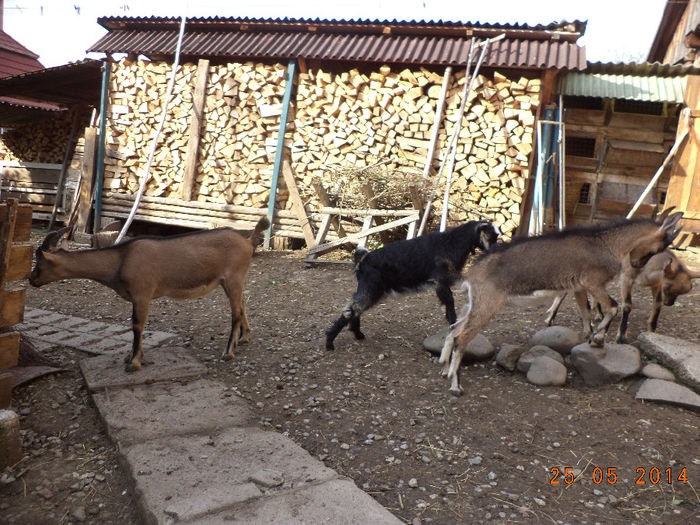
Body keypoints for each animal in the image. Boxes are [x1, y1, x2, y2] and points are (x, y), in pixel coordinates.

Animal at [28, 217, 268, 372]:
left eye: (39, 264)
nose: (31, 280)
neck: (121, 260)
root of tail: (248, 242)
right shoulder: (139, 296)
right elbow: (138, 325)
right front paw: (133, 356)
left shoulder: (142, 293)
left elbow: (137, 324)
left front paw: (133, 362)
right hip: (232, 281)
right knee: (242, 304)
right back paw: (244, 338)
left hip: (233, 277)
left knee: (235, 312)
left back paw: (228, 351)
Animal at [324, 219, 498, 350]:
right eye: (492, 236)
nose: (496, 252)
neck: (450, 242)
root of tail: (363, 262)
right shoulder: (441, 281)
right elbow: (450, 302)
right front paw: (453, 324)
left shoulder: (442, 283)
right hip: (371, 289)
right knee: (351, 309)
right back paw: (330, 342)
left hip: (372, 290)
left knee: (353, 308)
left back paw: (357, 334)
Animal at [440, 211, 680, 396]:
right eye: (660, 247)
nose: (636, 264)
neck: (606, 244)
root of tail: (470, 275)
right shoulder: (593, 282)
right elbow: (612, 307)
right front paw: (599, 338)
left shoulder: (579, 287)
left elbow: (586, 314)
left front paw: (592, 339)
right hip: (487, 305)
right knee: (462, 338)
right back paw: (455, 386)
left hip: (474, 305)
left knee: (454, 328)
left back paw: (444, 368)